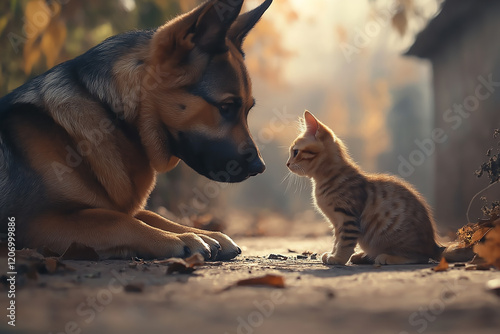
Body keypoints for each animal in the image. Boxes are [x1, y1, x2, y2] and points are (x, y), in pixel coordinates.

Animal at [0, 0, 272, 260]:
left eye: (247, 109)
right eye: (226, 107)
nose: (260, 168)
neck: (111, 115)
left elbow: (151, 216)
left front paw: (202, 233)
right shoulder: (37, 222)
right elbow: (119, 220)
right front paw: (180, 239)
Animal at [286, 111, 442, 264]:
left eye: (295, 152)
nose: (287, 164)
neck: (323, 179)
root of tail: (434, 245)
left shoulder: (347, 217)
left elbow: (344, 242)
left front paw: (338, 258)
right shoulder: (337, 223)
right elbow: (337, 240)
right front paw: (333, 253)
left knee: (420, 257)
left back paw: (387, 257)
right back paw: (363, 256)